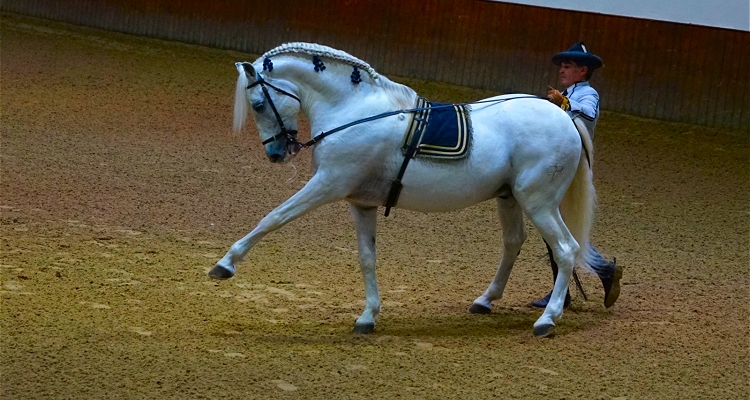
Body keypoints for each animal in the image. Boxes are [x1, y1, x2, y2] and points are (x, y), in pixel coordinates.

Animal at [213, 42, 600, 338]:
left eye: (258, 104)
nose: (276, 154)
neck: (353, 110)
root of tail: (565, 117)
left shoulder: (328, 183)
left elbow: (273, 217)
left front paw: (225, 265)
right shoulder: (361, 203)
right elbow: (367, 257)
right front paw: (367, 317)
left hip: (539, 201)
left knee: (565, 250)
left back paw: (547, 319)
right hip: (510, 198)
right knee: (513, 243)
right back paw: (485, 300)